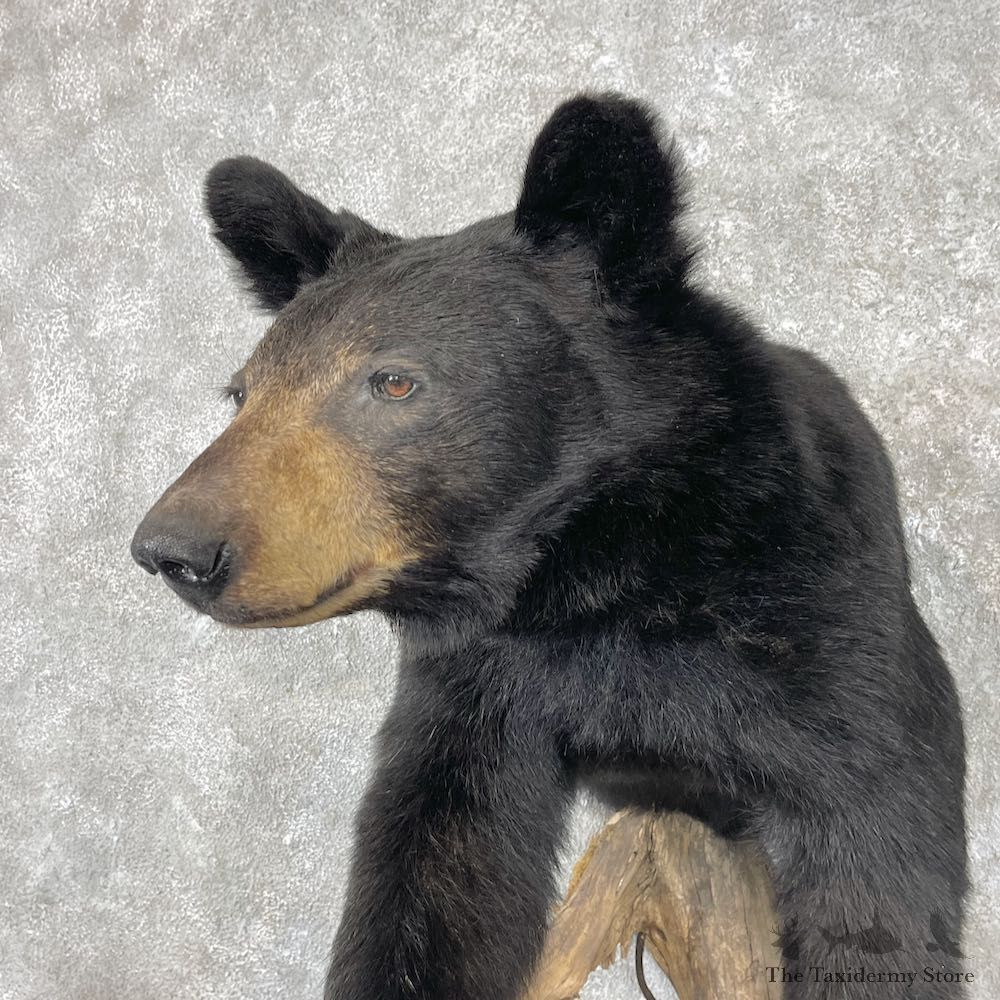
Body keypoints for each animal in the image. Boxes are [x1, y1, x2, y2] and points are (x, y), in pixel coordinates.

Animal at [131, 93, 968, 999]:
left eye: (393, 380)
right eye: (243, 394)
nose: (173, 548)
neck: (591, 580)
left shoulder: (824, 640)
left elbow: (879, 859)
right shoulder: (477, 694)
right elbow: (428, 884)